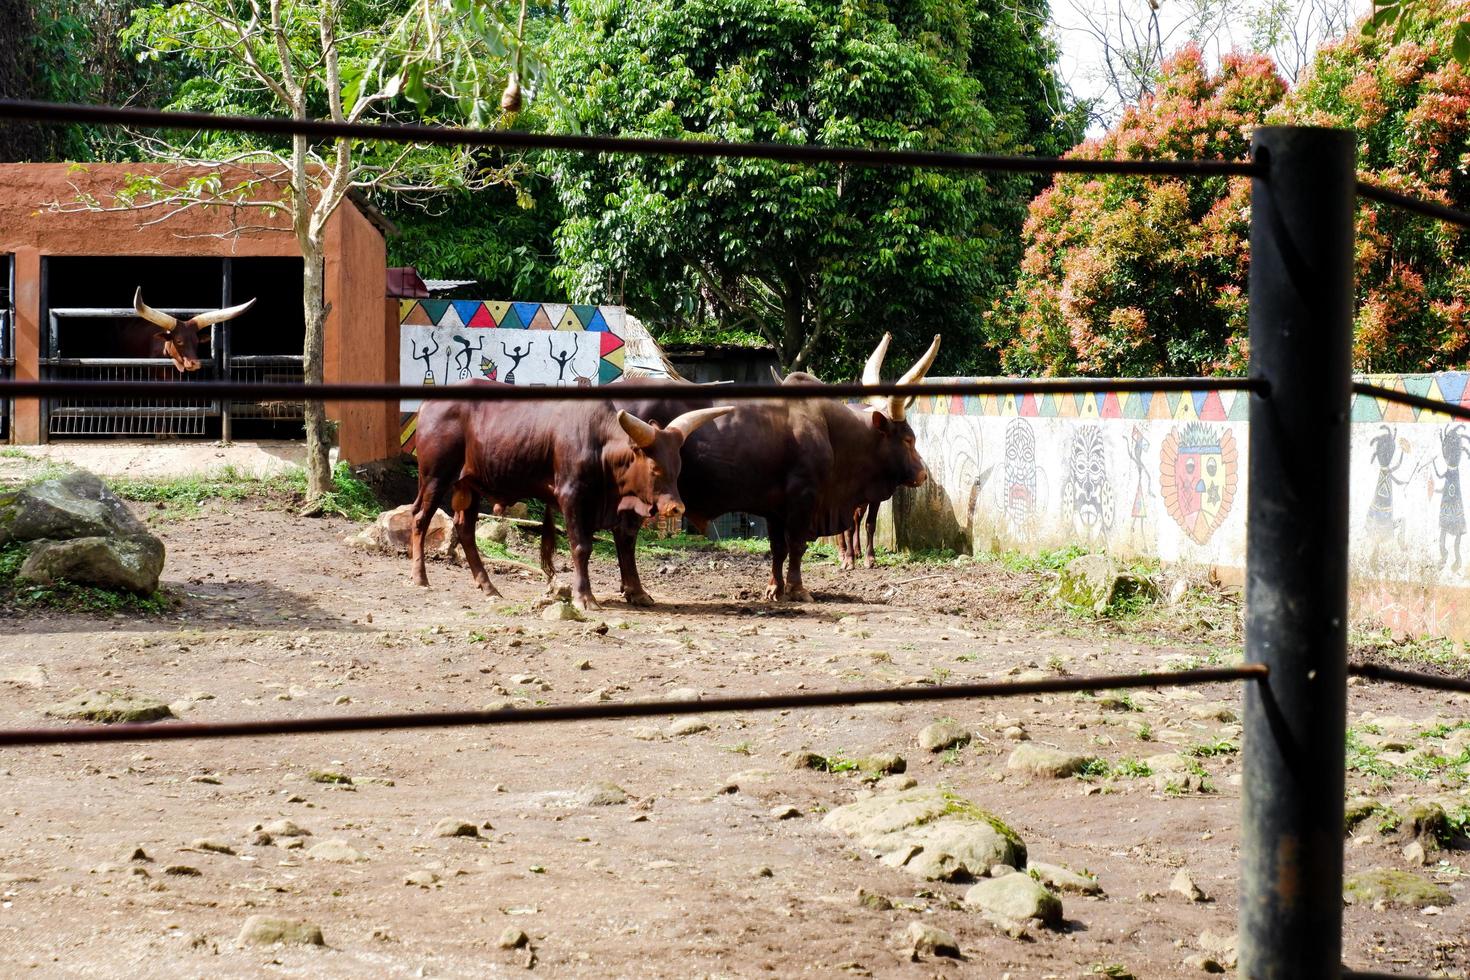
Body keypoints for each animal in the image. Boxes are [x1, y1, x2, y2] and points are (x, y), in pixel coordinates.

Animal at [411, 382, 732, 614]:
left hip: (469, 485)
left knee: (465, 529)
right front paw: (584, 597)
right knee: (420, 519)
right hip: (436, 477)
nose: (676, 508)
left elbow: (616, 546)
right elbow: (581, 547)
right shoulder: (572, 498)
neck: (600, 446)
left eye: (677, 467)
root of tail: (429, 405)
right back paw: (420, 579)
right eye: (655, 468)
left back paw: (488, 586)